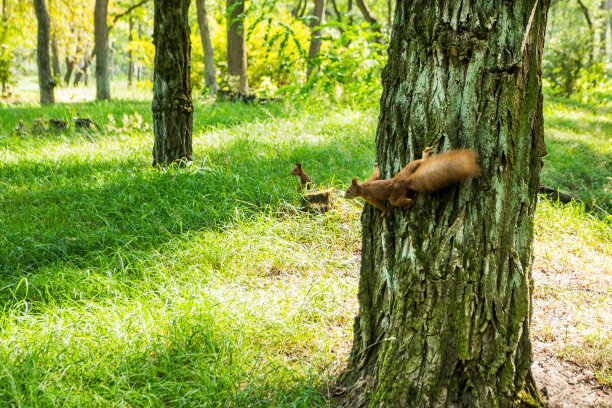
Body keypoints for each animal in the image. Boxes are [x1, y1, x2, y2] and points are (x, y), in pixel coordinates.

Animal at [344, 147, 478, 217]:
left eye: (349, 191)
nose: (344, 197)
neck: (362, 187)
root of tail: (406, 181)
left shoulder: (369, 197)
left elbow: (379, 204)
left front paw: (383, 212)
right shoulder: (371, 179)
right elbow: (376, 174)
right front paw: (376, 165)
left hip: (395, 195)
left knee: (398, 201)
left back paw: (408, 205)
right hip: (406, 170)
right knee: (418, 162)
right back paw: (425, 154)